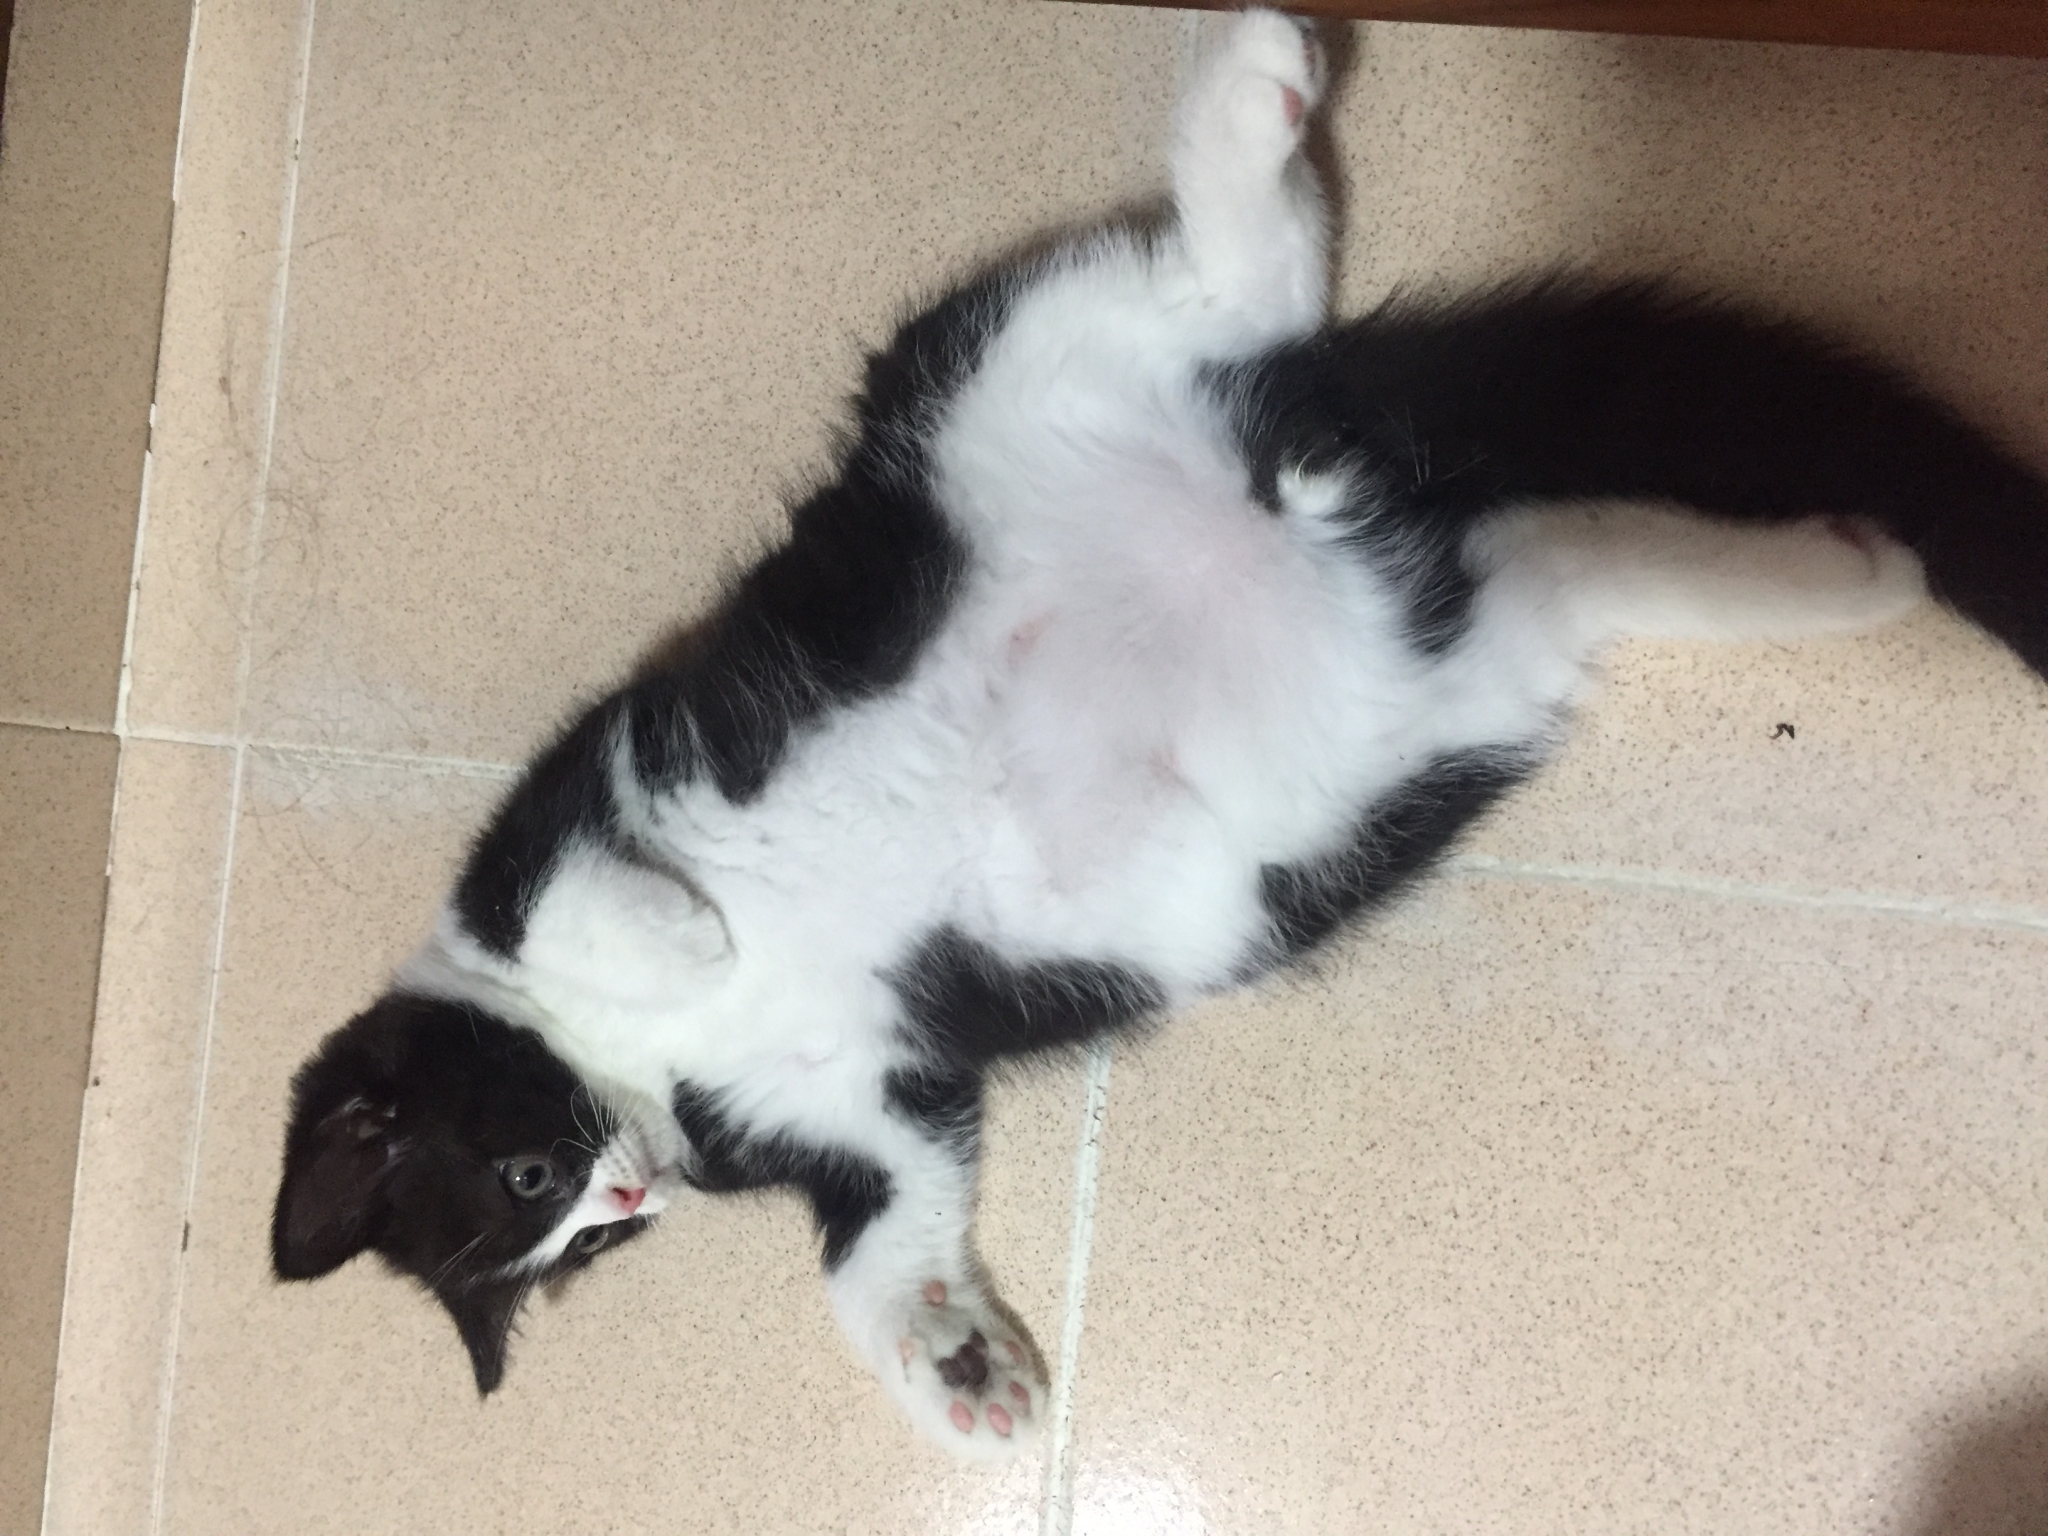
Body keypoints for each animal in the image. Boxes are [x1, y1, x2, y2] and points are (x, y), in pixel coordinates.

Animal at [270, 9, 2048, 1462]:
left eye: (532, 1178)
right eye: (575, 1234)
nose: (631, 1184)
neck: (650, 1070)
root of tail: (1316, 501)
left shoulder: (576, 785)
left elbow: (572, 890)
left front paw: (683, 937)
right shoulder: (870, 1102)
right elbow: (886, 1229)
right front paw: (958, 1378)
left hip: (993, 393)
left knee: (1218, 290)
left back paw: (1255, 90)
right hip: (1386, 753)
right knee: (1558, 559)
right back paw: (1840, 571)